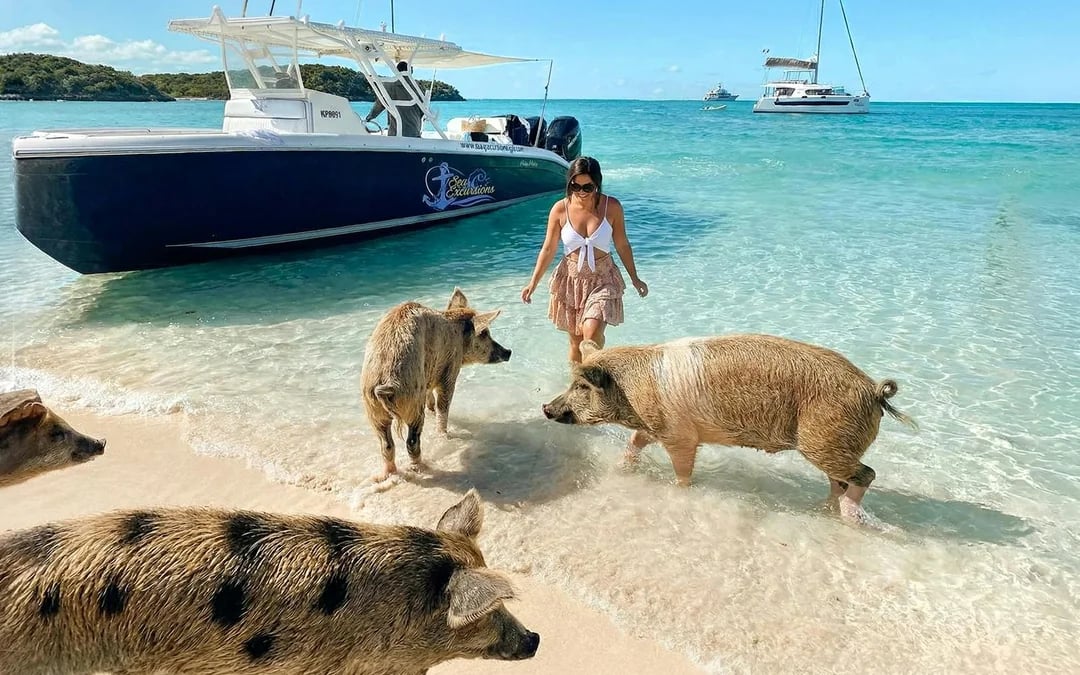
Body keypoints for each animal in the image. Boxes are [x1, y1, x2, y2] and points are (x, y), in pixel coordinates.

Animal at [361, 288, 511, 481]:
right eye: (485, 333)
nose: (509, 352)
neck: (459, 333)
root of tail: (387, 383)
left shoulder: (428, 376)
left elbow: (431, 398)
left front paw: (432, 410)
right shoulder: (450, 369)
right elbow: (443, 406)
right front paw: (443, 434)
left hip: (373, 408)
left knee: (386, 445)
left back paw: (386, 474)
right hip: (411, 400)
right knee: (412, 441)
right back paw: (422, 467)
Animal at [542, 335, 916, 523]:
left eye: (582, 386)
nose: (546, 408)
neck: (634, 392)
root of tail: (874, 391)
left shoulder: (680, 435)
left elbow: (682, 471)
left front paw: (680, 492)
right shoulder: (655, 426)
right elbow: (636, 440)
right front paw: (621, 469)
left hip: (823, 439)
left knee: (866, 474)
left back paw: (851, 517)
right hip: (833, 444)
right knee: (840, 480)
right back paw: (829, 510)